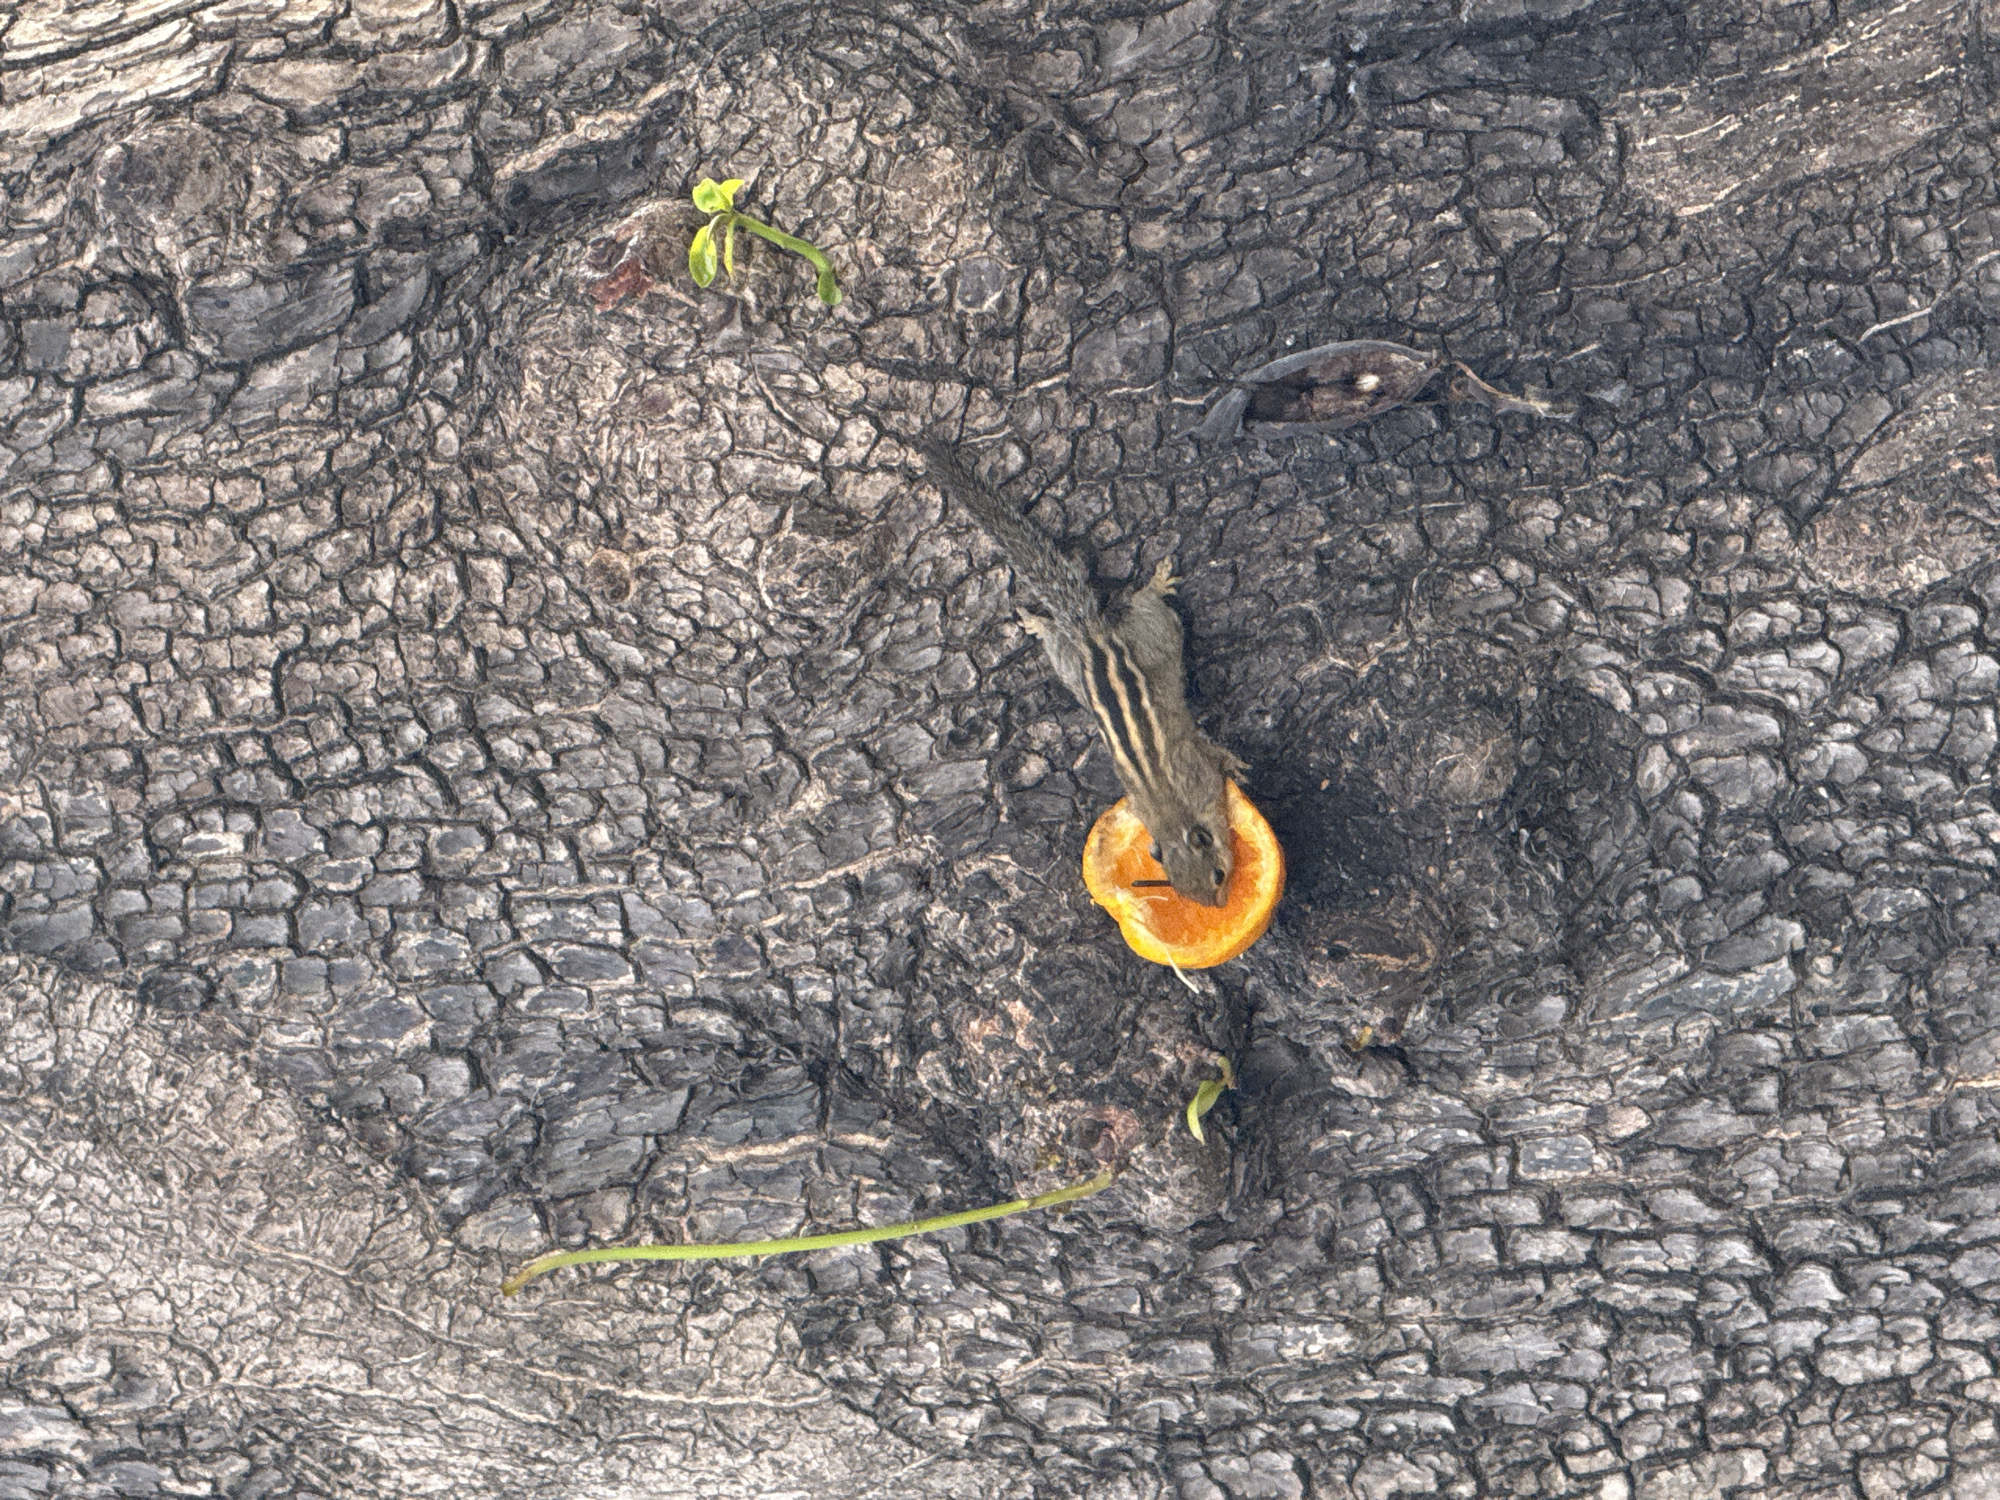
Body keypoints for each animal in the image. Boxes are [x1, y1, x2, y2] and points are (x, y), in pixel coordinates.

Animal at [914, 437, 1247, 906]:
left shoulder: (1194, 772)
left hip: (1144, 641)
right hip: (1081, 666)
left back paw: (1152, 585)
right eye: (1185, 891)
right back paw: (1046, 623)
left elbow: (1211, 751)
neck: (1169, 812)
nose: (1217, 906)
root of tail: (1092, 635)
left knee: (1146, 609)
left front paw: (1235, 765)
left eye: (1217, 876)